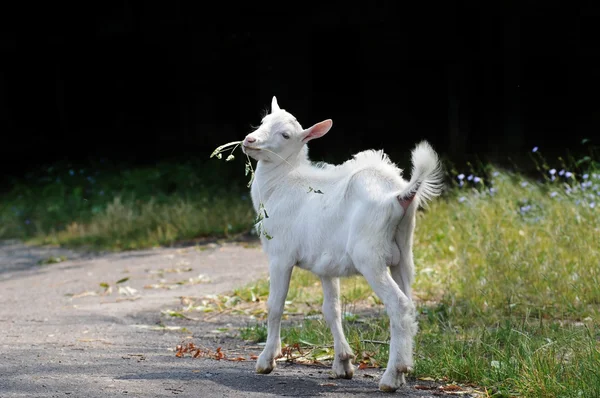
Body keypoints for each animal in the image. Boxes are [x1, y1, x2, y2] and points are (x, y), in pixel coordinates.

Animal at [241, 97, 442, 392]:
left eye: (286, 135)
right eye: (263, 121)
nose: (249, 140)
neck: (283, 183)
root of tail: (399, 195)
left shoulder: (280, 255)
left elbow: (276, 304)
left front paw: (267, 360)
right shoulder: (326, 266)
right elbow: (331, 309)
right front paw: (343, 364)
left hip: (370, 256)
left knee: (399, 305)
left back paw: (391, 376)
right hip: (404, 254)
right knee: (410, 302)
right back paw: (402, 371)